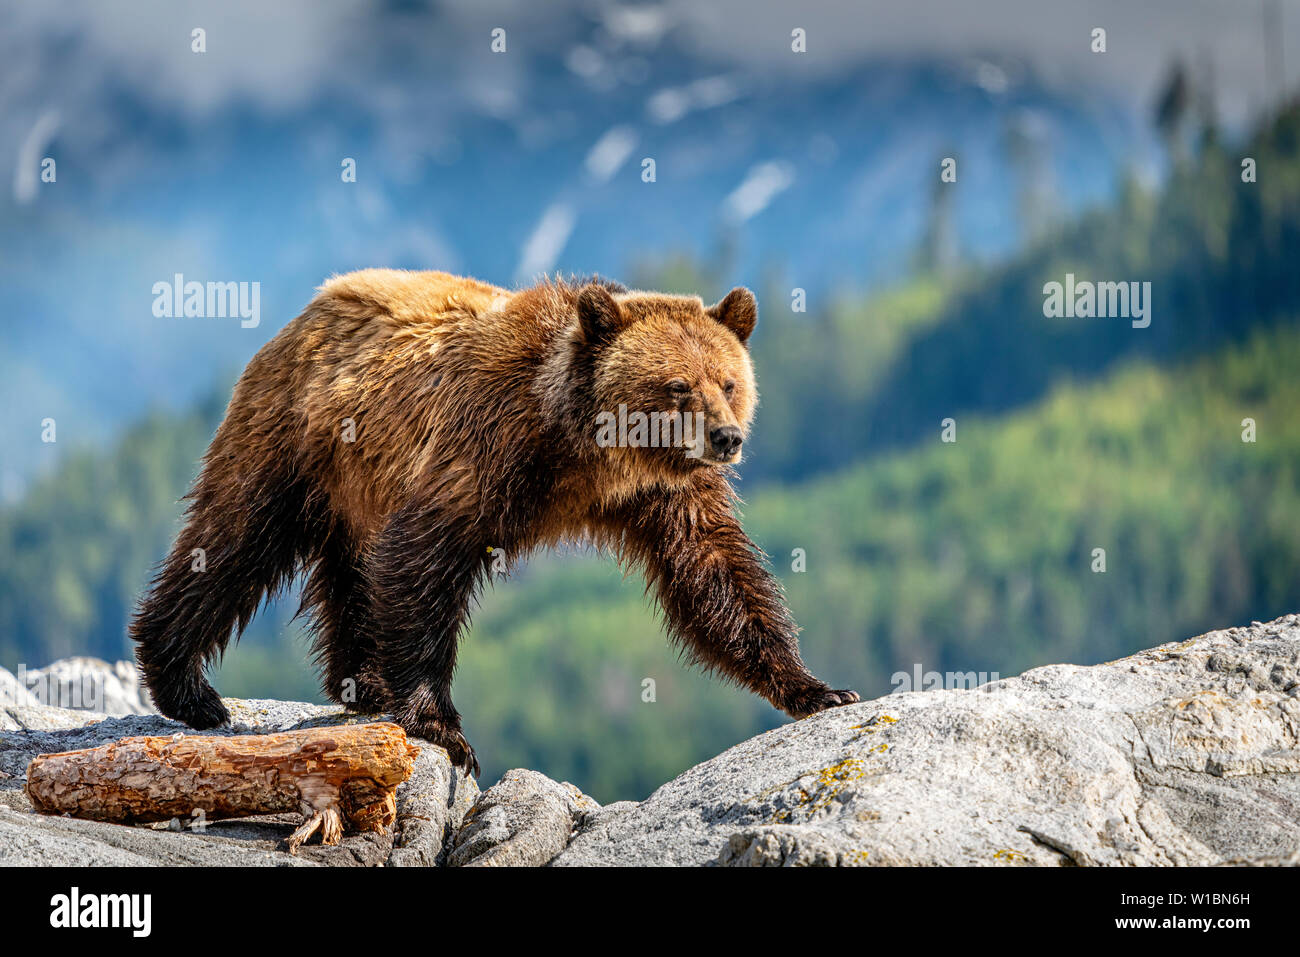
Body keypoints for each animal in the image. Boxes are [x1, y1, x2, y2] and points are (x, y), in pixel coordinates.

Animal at [131, 270, 857, 780]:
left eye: (728, 381)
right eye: (678, 386)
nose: (727, 438)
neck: (582, 450)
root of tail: (310, 308)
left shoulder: (661, 494)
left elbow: (716, 574)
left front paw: (817, 688)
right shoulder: (483, 448)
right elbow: (423, 561)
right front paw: (444, 728)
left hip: (356, 481)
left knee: (345, 566)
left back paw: (360, 681)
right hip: (298, 439)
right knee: (235, 539)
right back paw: (187, 685)